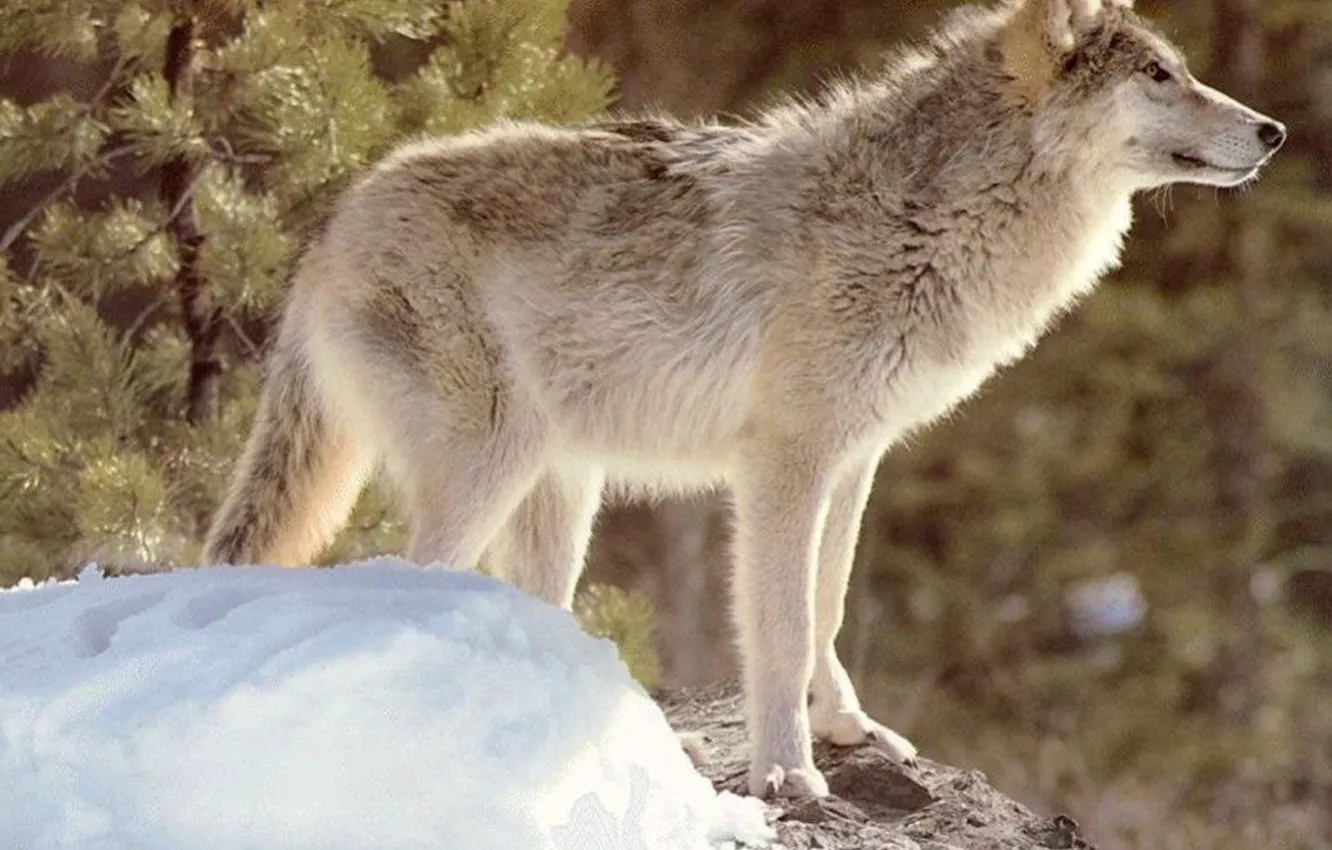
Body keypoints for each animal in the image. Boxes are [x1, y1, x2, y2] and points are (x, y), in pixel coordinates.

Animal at [203, 0, 1284, 798]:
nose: (1273, 130)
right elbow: (782, 626)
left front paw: (850, 728)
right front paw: (786, 775)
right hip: (490, 466)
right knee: (407, 578)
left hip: (562, 491)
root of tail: (331, 225)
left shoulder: (855, 458)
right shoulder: (782, 464)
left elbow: (830, 605)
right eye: (1160, 75)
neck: (923, 215)